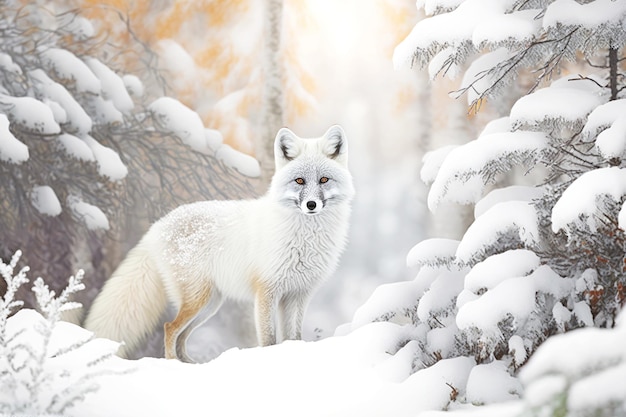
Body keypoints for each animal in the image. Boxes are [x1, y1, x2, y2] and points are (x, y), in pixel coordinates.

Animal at [83, 123, 354, 360]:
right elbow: (268, 339)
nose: (311, 205)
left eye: (324, 180)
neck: (305, 239)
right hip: (198, 299)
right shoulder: (267, 291)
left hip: (209, 304)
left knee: (181, 336)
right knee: (169, 328)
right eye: (299, 181)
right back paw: (172, 365)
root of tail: (159, 225)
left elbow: (293, 337)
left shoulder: (298, 294)